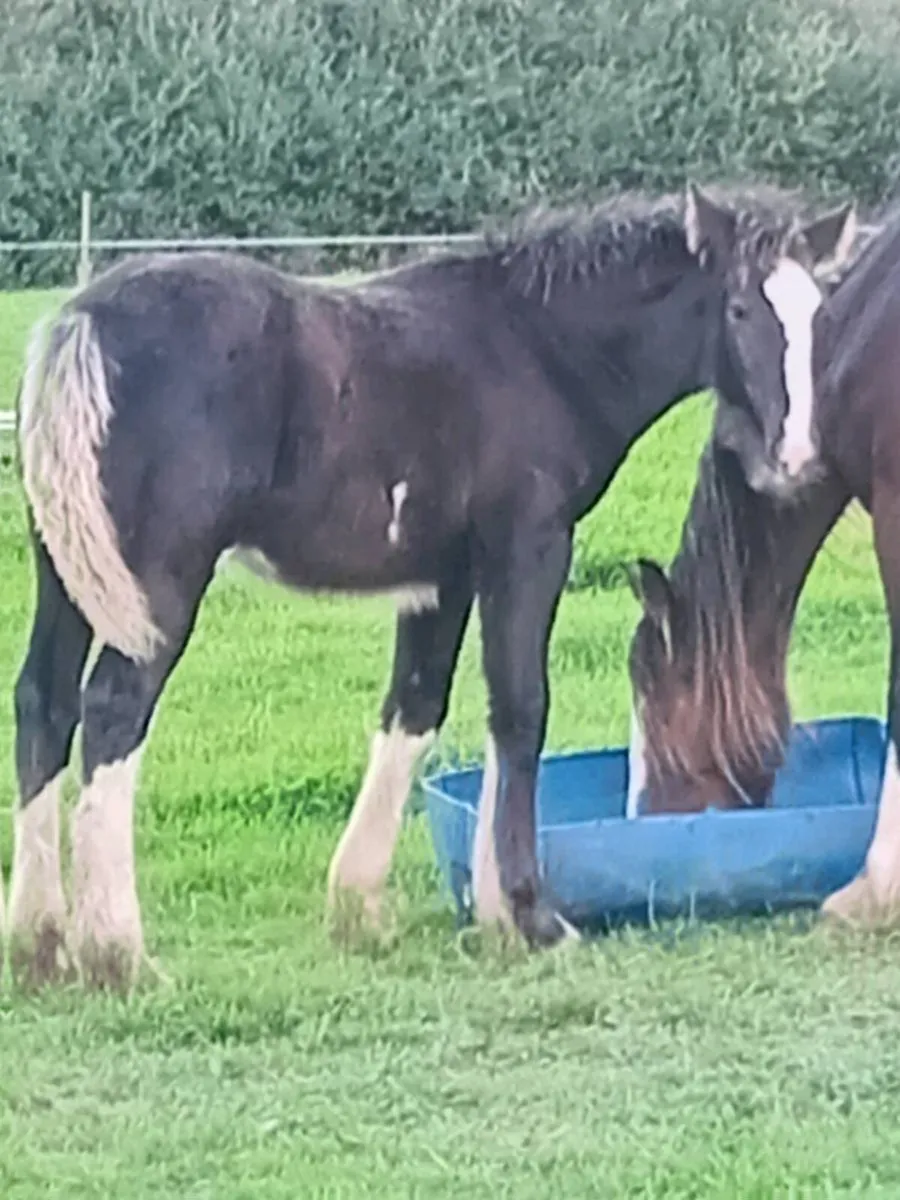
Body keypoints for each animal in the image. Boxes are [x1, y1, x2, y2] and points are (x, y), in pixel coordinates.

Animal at [9, 182, 850, 991]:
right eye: (738, 308)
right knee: (112, 710)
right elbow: (520, 709)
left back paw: (41, 949)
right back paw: (118, 953)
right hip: (155, 584)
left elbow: (417, 707)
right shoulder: (529, 546)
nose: (793, 454)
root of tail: (80, 320)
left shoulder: (441, 577)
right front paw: (532, 917)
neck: (542, 348)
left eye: (817, 314)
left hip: (70, 572)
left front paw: (375, 909)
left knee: (43, 702)